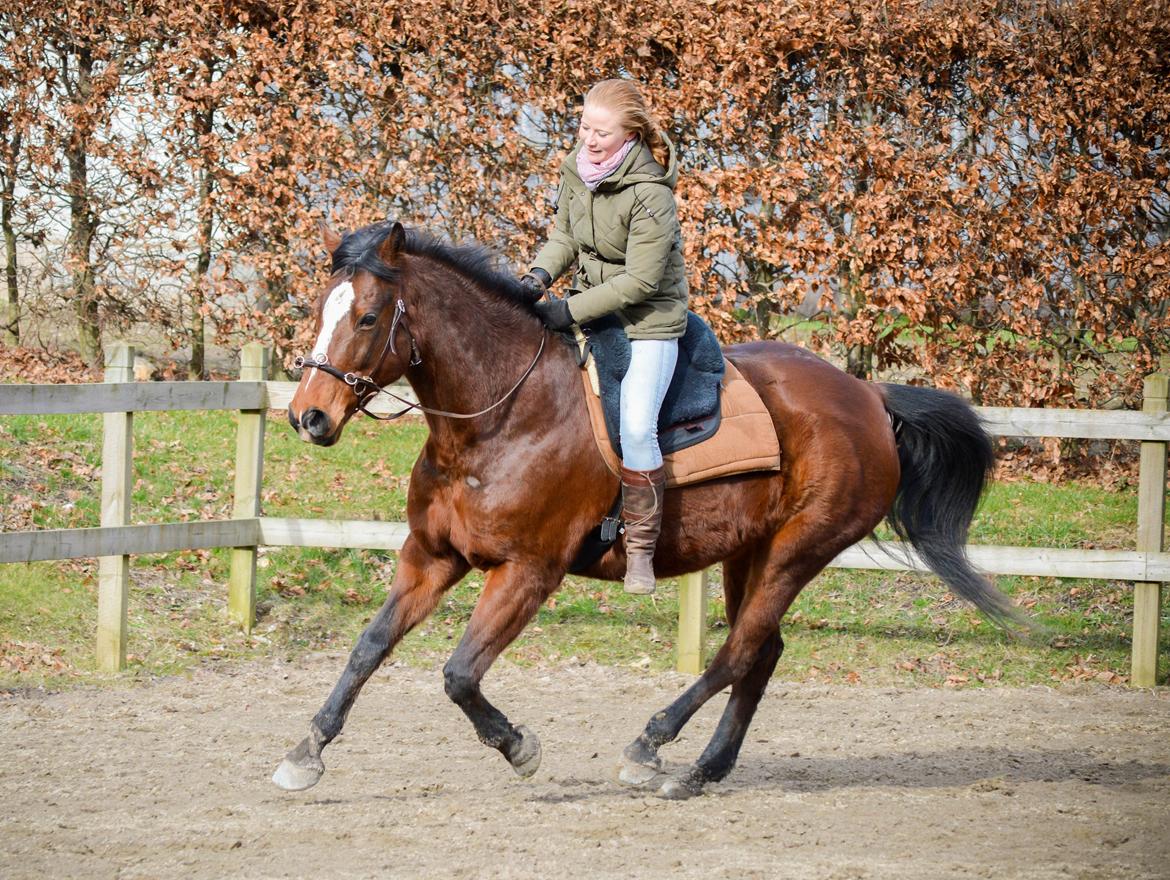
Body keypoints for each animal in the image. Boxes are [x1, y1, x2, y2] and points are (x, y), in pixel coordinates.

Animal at [269, 218, 1010, 795]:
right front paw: (306, 752)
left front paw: (520, 748)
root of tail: (869, 398)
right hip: (750, 554)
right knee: (762, 652)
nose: (308, 417)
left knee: (738, 652)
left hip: (799, 550)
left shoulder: (527, 573)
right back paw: (702, 771)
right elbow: (368, 649)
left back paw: (651, 747)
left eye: (367, 317)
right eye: (319, 312)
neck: (501, 417)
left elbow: (458, 675)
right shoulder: (431, 557)